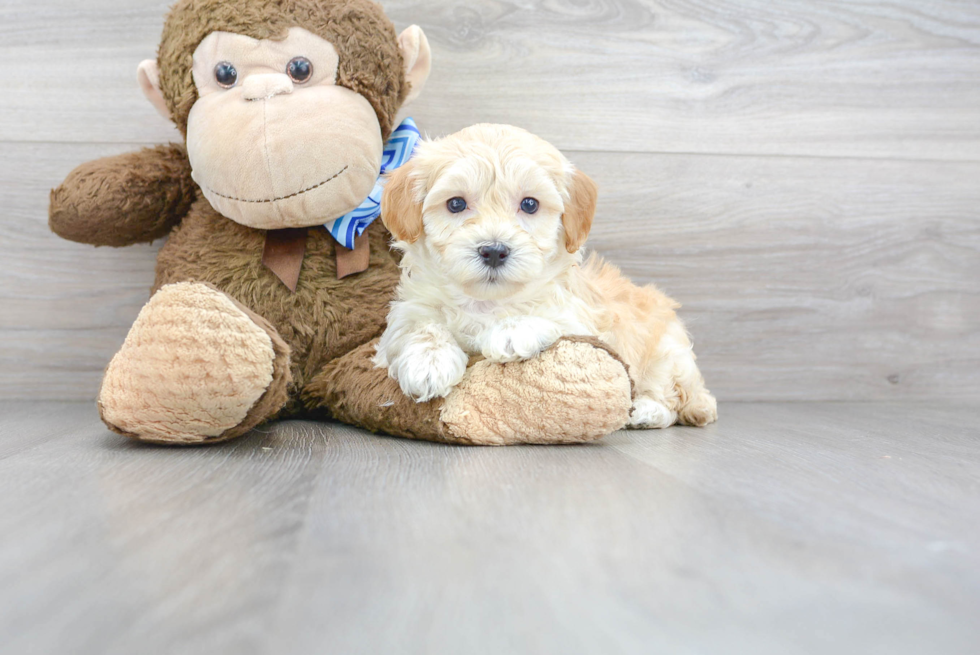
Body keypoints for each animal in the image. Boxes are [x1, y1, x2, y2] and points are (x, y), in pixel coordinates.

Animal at [372, 124, 716, 430]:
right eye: (455, 203)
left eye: (529, 204)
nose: (494, 251)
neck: (485, 303)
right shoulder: (408, 312)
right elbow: (419, 327)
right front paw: (428, 363)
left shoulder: (582, 321)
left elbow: (549, 317)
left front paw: (510, 332)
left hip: (667, 356)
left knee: (674, 400)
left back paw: (645, 411)